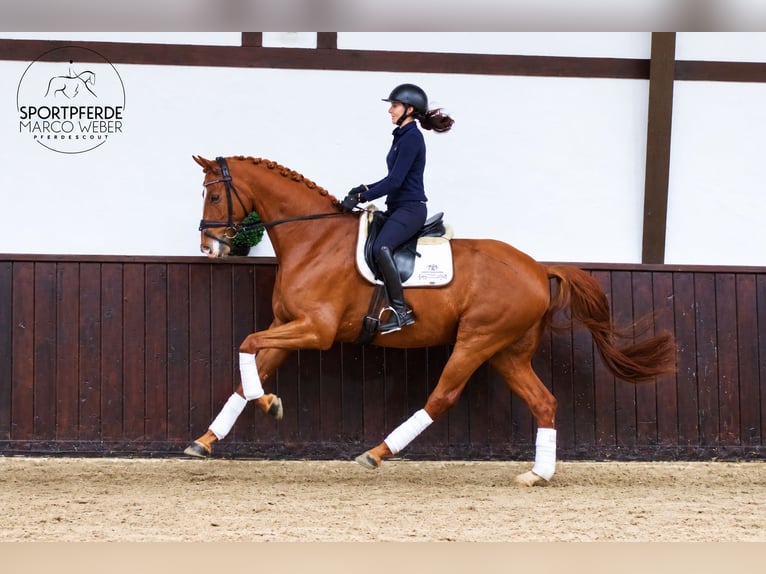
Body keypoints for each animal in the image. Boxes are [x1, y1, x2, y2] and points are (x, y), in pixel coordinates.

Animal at [186, 154, 676, 486]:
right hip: (508, 352)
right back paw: (537, 474)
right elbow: (247, 370)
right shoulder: (287, 325)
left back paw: (377, 452)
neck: (314, 238)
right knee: (544, 403)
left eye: (215, 194)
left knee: (442, 397)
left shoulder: (316, 330)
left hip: (477, 341)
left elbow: (247, 343)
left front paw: (269, 403)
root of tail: (539, 269)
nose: (209, 247)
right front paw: (208, 439)